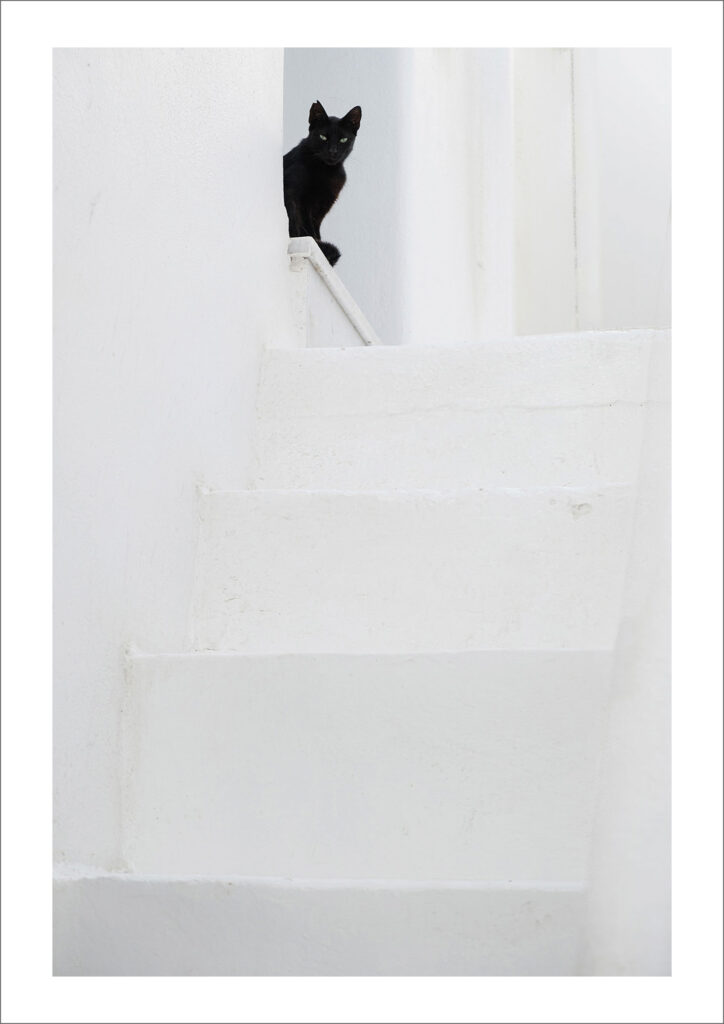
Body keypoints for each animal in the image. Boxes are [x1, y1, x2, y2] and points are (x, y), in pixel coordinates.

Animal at [283, 100, 362, 267]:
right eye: (323, 137)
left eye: (343, 139)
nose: (333, 151)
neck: (327, 171)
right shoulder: (299, 198)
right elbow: (306, 227)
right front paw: (319, 246)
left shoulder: (323, 205)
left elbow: (316, 228)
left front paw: (320, 245)